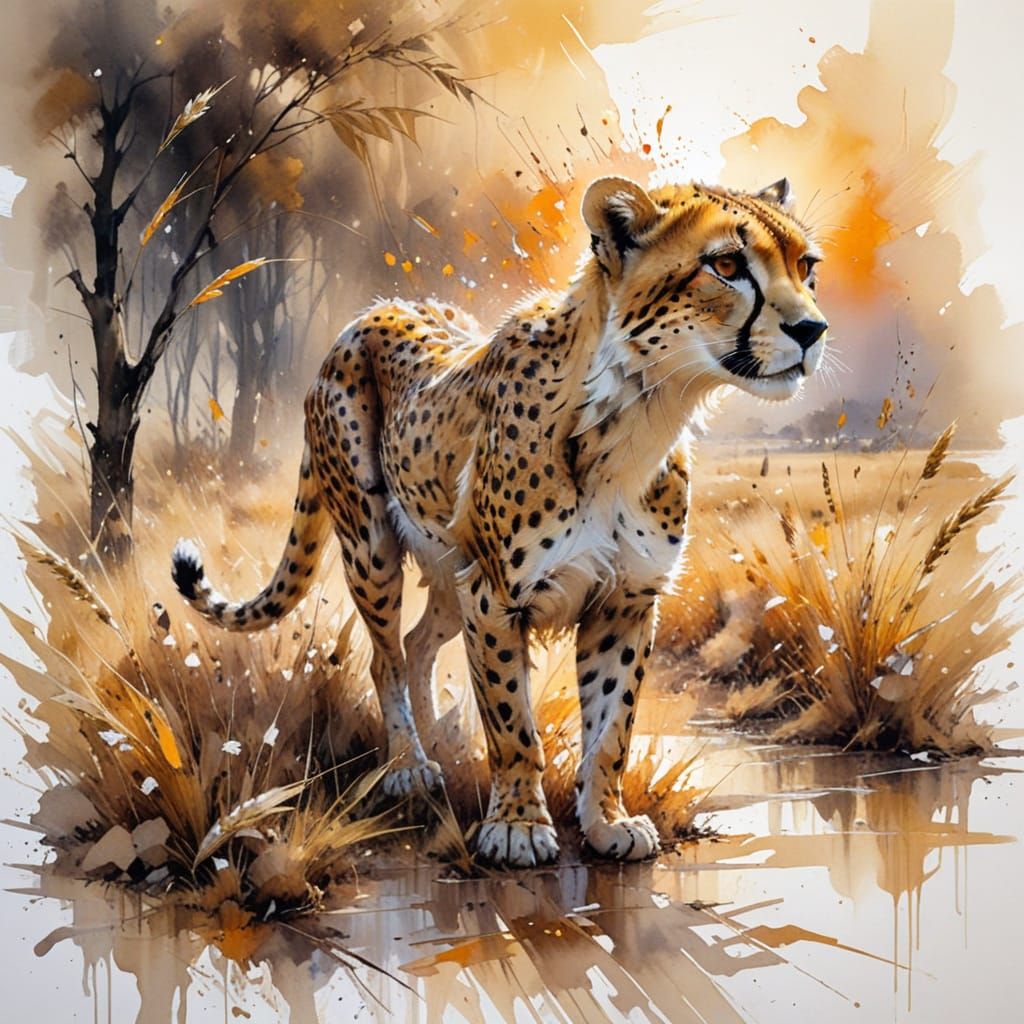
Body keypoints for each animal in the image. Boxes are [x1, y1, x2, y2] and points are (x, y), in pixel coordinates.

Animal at [172, 174, 828, 868]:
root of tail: (368, 313)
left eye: (806, 266)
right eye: (726, 266)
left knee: (416, 644)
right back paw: (411, 766)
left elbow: (612, 727)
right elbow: (514, 723)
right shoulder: (494, 597)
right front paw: (516, 826)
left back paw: (443, 742)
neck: (639, 413)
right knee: (386, 658)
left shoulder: (624, 601)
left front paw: (606, 822)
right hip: (372, 546)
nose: (813, 329)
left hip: (448, 568)